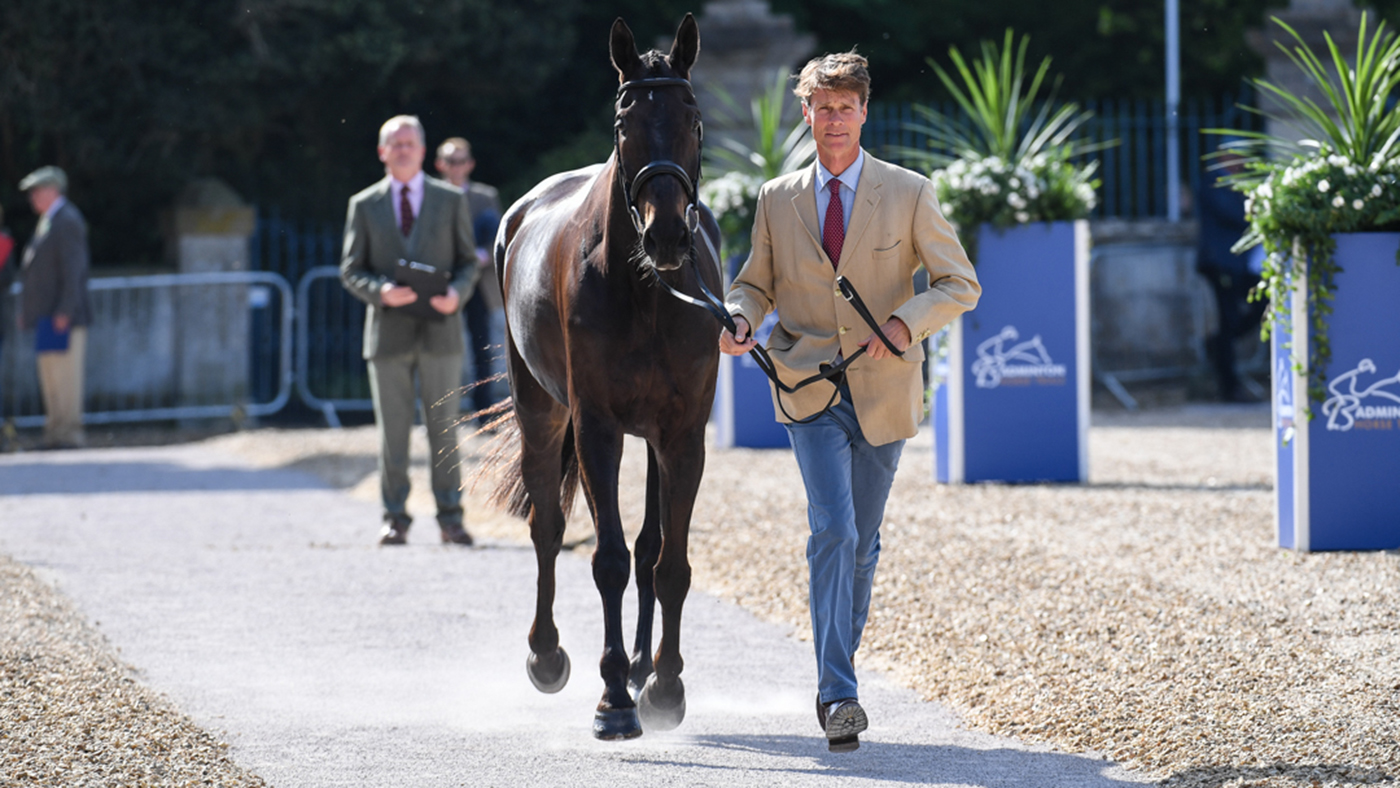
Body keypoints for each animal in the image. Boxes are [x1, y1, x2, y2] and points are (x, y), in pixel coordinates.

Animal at [486, 14, 721, 740]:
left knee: (649, 547)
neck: (646, 291)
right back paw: (547, 656)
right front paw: (613, 697)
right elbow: (609, 558)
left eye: (693, 118)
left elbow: (668, 563)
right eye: (624, 123)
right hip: (541, 411)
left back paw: (645, 669)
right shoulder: (597, 428)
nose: (668, 234)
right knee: (547, 525)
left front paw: (665, 686)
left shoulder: (683, 435)